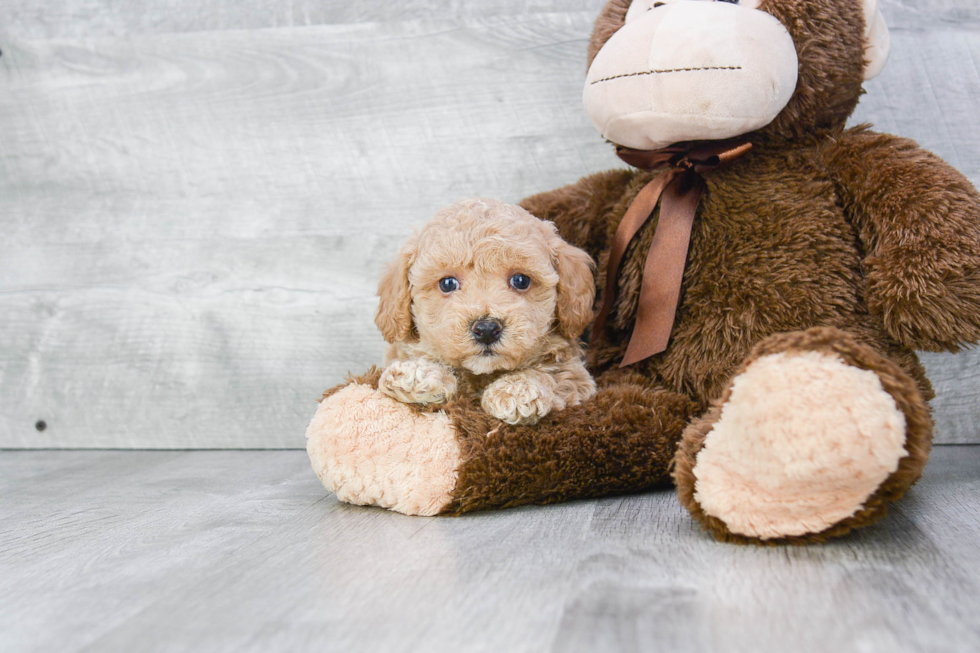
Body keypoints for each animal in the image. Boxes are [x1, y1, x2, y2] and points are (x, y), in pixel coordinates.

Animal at [374, 196, 596, 426]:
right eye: (447, 283)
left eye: (521, 280)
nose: (487, 329)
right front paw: (417, 375)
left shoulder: (575, 374)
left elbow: (554, 374)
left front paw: (516, 390)